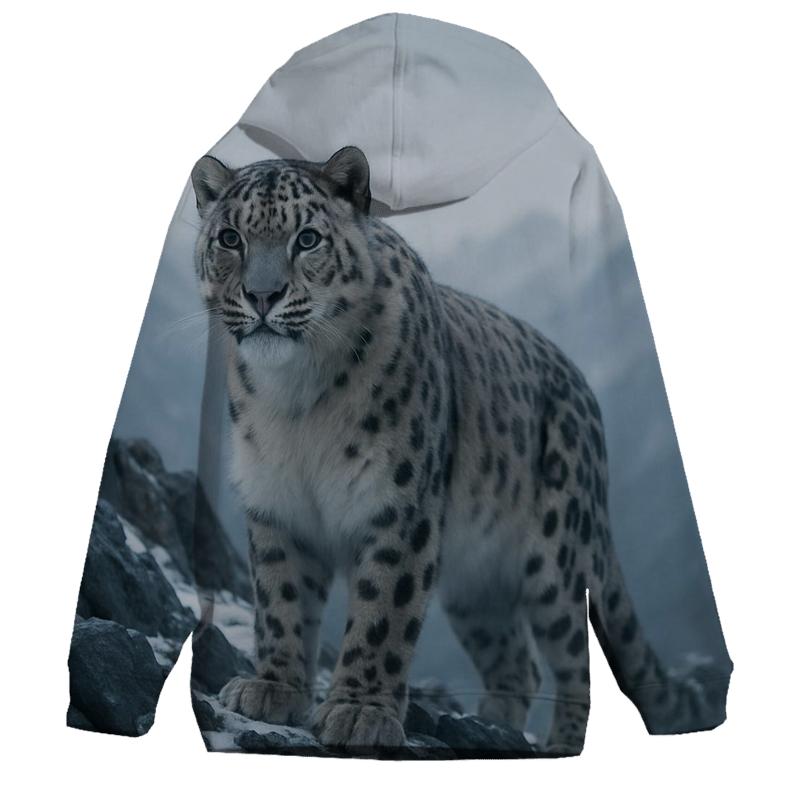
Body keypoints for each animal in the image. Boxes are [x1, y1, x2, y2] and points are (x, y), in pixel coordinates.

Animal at [189, 145, 694, 754]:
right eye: (230, 238)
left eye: (306, 239)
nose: (262, 296)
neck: (297, 399)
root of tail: (585, 393)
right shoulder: (276, 505)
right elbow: (280, 600)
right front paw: (272, 687)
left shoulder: (400, 507)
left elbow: (383, 611)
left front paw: (359, 711)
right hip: (476, 588)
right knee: (516, 662)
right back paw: (494, 728)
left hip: (559, 556)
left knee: (575, 658)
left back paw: (559, 743)